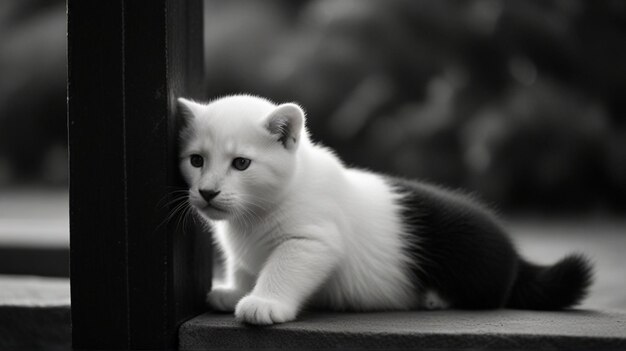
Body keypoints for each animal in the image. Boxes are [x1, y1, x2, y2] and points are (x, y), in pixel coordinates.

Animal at [176, 95, 588, 326]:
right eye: (197, 160)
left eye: (241, 164)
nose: (207, 192)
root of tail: (516, 254)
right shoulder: (243, 251)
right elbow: (244, 267)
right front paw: (234, 291)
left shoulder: (312, 241)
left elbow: (283, 268)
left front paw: (264, 302)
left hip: (471, 255)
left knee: (494, 293)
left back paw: (436, 298)